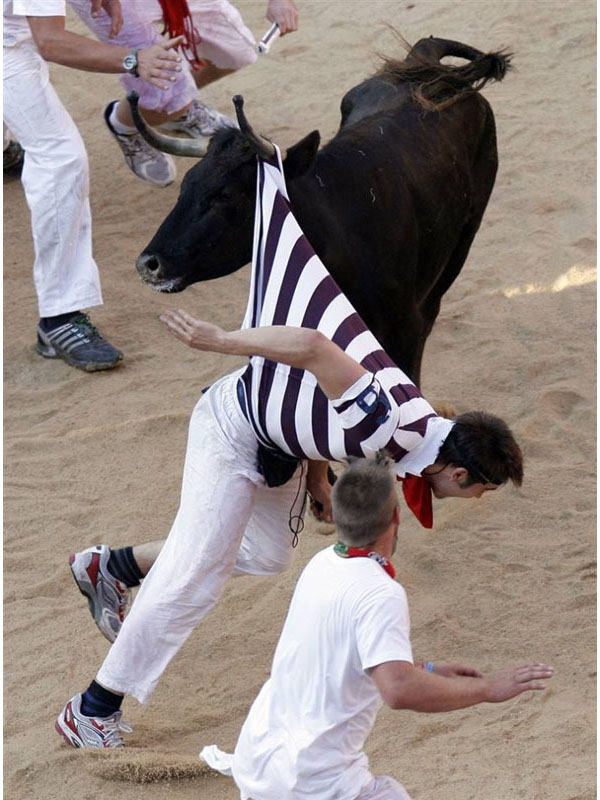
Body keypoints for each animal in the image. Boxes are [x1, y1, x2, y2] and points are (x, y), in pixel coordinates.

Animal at [131, 36, 510, 384]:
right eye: (186, 186)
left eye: (224, 195)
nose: (148, 264)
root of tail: (426, 65)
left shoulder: (405, 330)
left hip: (465, 234)